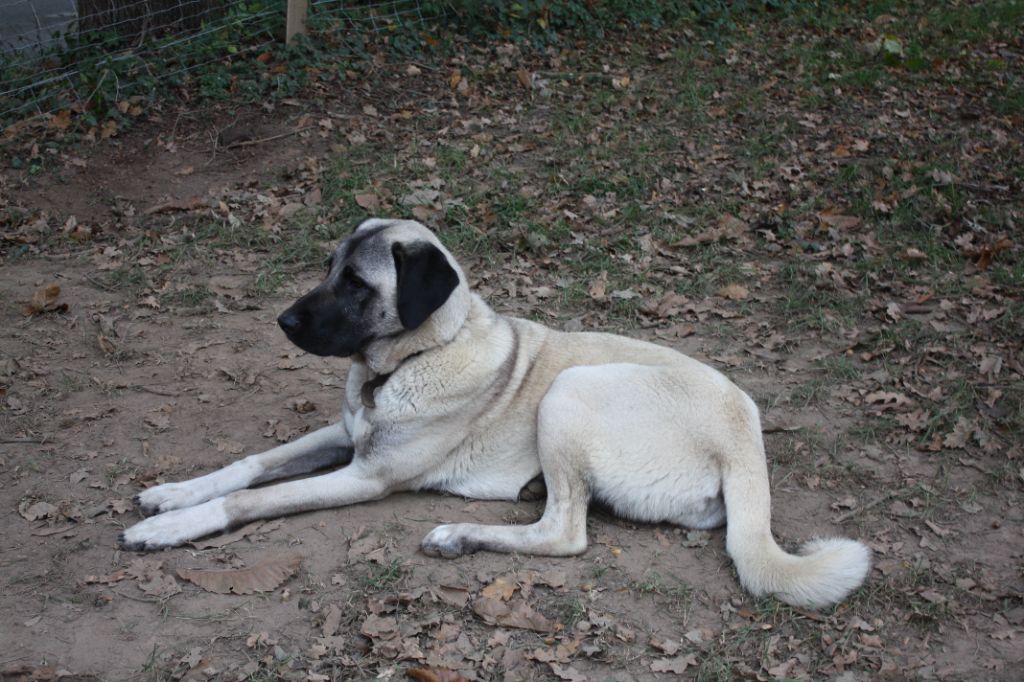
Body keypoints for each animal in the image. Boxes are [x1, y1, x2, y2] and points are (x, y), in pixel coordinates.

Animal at [121, 216, 872, 606]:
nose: (282, 321)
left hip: (571, 393)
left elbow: (252, 501)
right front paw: (176, 492)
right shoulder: (342, 434)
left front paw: (171, 528)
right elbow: (249, 465)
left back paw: (459, 534)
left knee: (565, 534)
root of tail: (748, 438)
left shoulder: (364, 477)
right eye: (327, 269)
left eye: (357, 283)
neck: (413, 357)